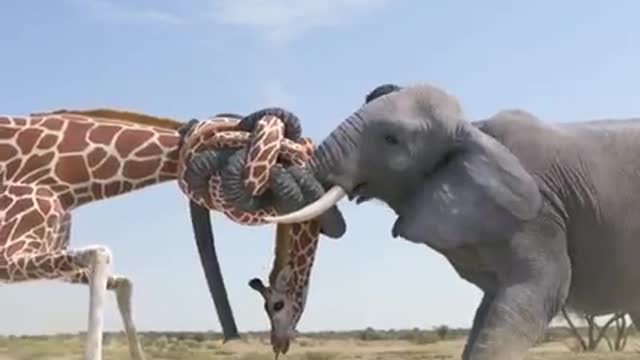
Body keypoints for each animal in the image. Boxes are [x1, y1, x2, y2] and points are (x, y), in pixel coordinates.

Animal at [262, 83, 640, 358]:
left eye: (392, 140)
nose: (280, 161)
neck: (473, 131)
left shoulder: (541, 215)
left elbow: (537, 293)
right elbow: (488, 310)